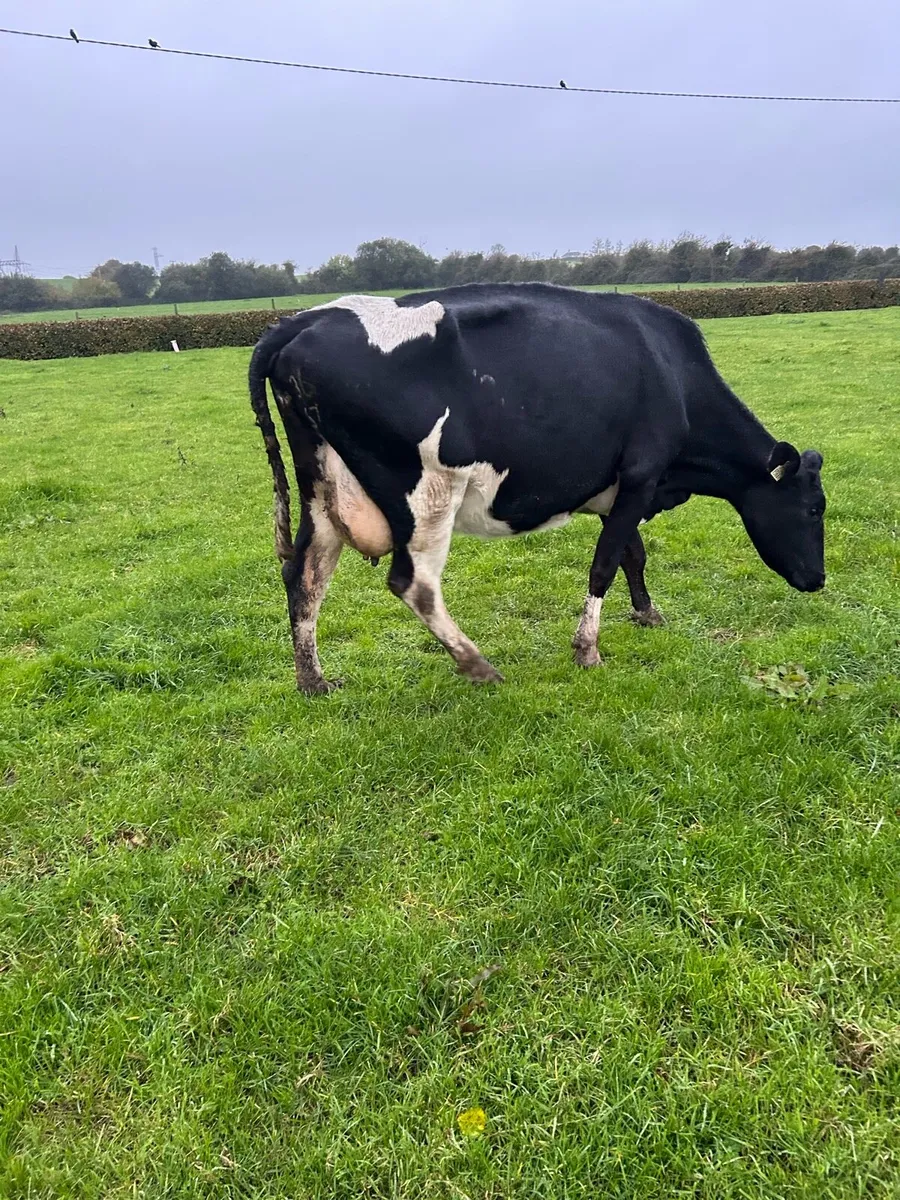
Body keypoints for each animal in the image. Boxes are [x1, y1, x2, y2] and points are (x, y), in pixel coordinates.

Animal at [248, 284, 826, 693]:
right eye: (814, 509)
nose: (818, 579)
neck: (674, 376)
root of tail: (303, 319)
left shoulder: (619, 489)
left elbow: (631, 555)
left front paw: (646, 613)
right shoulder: (642, 474)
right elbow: (605, 564)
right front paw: (587, 649)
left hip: (322, 489)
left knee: (304, 575)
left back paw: (313, 681)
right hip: (429, 493)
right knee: (413, 583)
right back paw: (477, 664)